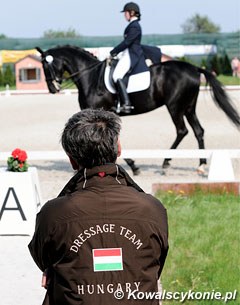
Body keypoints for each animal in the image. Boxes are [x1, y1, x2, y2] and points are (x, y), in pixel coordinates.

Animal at [36, 44, 240, 173]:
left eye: (46, 65)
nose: (52, 88)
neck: (90, 76)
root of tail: (194, 68)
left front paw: (134, 166)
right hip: (189, 107)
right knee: (199, 131)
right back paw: (201, 165)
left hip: (175, 106)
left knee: (182, 131)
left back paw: (166, 163)